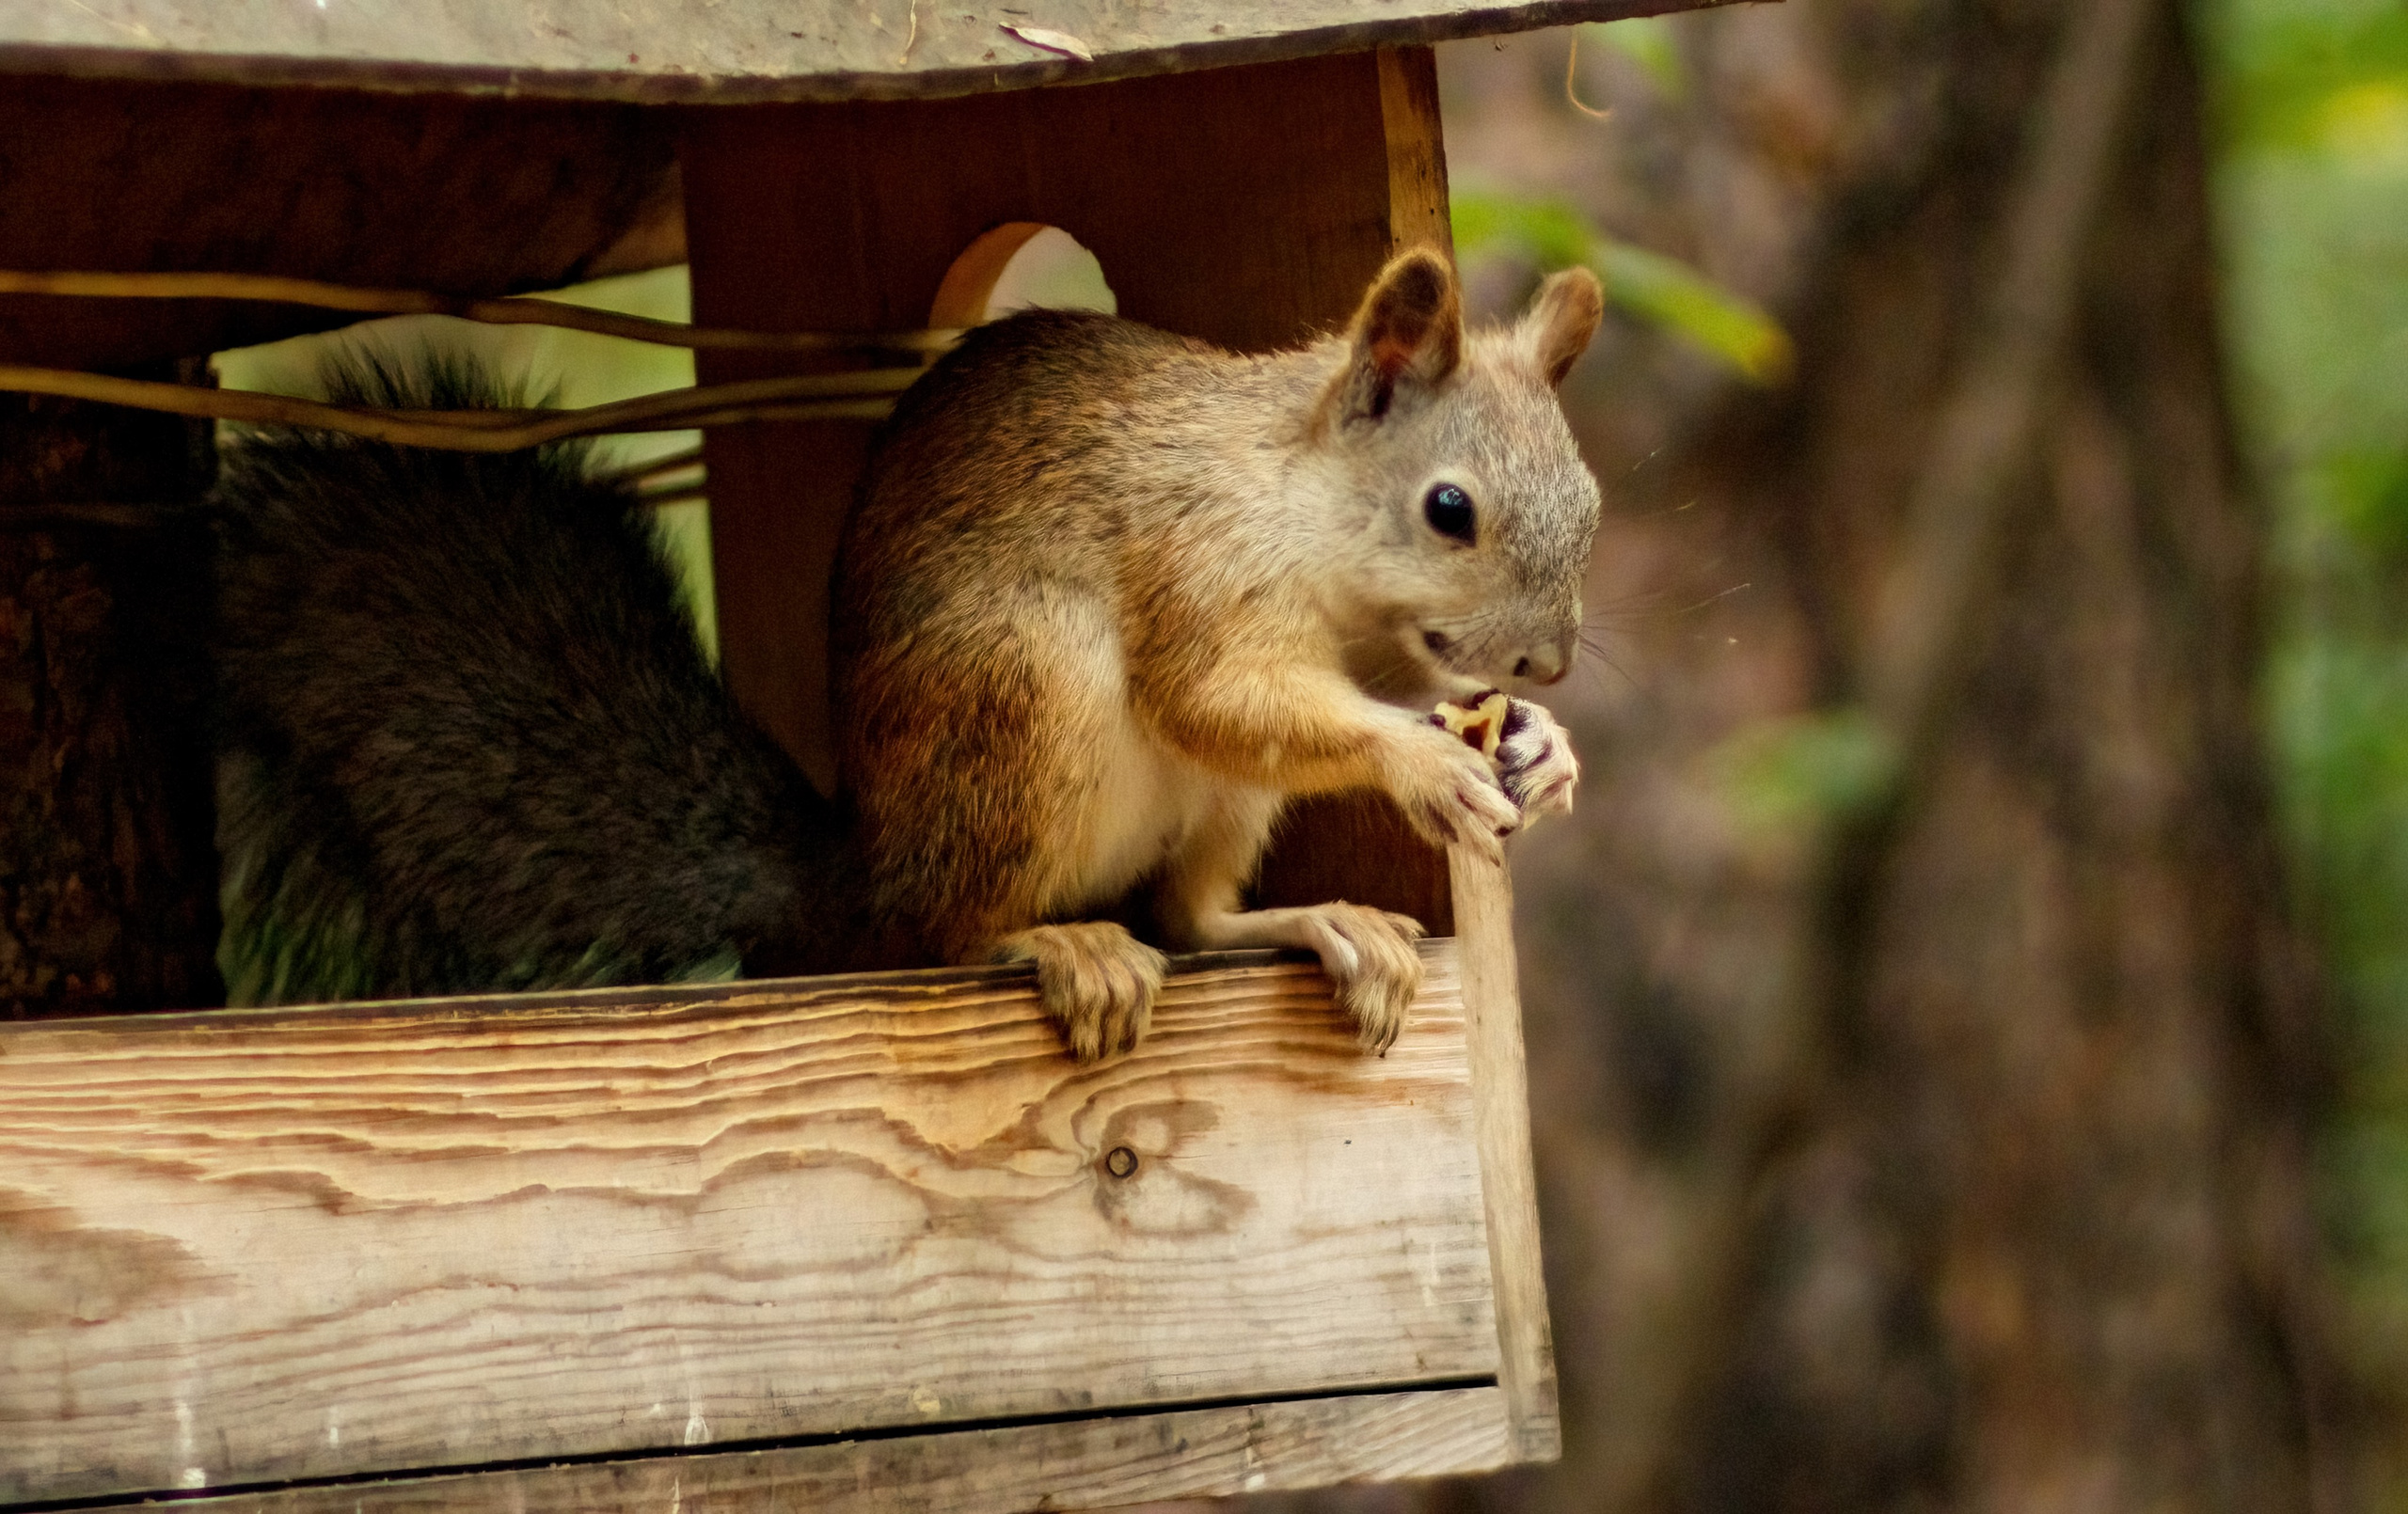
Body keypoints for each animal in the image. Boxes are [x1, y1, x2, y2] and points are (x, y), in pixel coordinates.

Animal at [210, 248, 1601, 1058]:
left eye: (1589, 501)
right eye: (1449, 510)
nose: (1546, 665)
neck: (1300, 503)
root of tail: (856, 873)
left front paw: (1539, 752)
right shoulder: (1195, 562)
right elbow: (1216, 693)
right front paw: (1421, 762)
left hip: (1208, 805)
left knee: (1192, 912)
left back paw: (1323, 922)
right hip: (1025, 697)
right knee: (944, 937)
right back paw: (1054, 945)